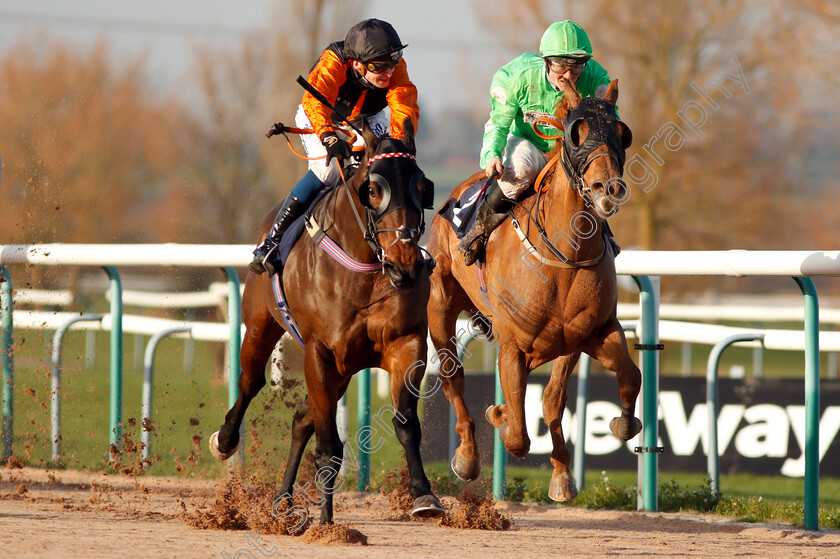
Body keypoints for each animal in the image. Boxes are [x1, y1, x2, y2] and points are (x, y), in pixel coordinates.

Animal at [209, 122, 442, 524]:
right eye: (372, 190)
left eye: (420, 187)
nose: (406, 265)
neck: (365, 270)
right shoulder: (319, 351)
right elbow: (329, 445)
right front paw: (325, 522)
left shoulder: (406, 343)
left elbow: (406, 424)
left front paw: (423, 495)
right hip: (260, 326)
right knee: (250, 382)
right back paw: (225, 441)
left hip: (343, 370)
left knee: (302, 419)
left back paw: (283, 500)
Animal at [430, 79, 640, 504]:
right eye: (577, 132)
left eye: (621, 132)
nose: (608, 188)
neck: (565, 256)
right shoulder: (513, 346)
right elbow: (517, 437)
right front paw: (498, 413)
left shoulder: (592, 334)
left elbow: (622, 378)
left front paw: (571, 468)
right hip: (440, 303)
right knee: (451, 375)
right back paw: (467, 456)